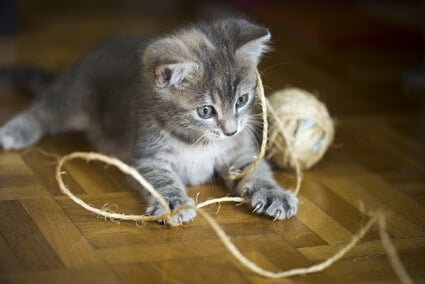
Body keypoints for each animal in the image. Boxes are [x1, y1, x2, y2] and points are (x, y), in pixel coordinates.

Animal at [0, 19, 296, 224]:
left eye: (242, 100)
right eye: (205, 111)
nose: (230, 130)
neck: (197, 140)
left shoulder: (240, 152)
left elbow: (256, 170)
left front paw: (274, 194)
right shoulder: (147, 158)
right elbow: (161, 179)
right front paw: (175, 204)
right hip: (75, 101)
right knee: (45, 110)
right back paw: (15, 131)